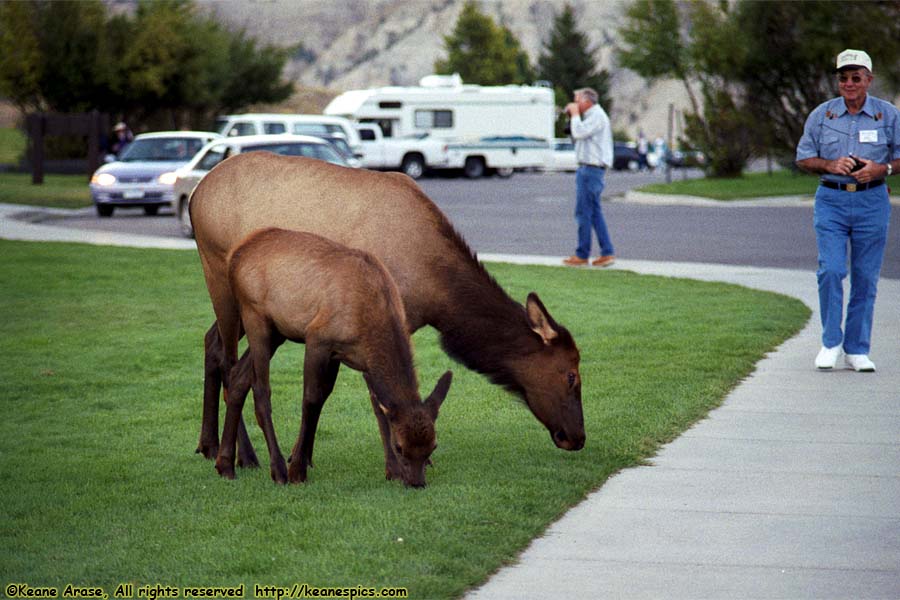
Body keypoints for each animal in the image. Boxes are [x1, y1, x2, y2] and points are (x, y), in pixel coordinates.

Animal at [212, 226, 450, 488]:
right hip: (254, 316)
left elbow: (375, 405)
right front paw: (297, 469)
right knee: (261, 391)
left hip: (277, 331)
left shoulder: (358, 359)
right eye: (400, 447)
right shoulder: (318, 338)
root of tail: (235, 256)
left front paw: (392, 471)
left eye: (432, 447)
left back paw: (225, 464)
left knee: (238, 377)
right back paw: (278, 469)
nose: (417, 483)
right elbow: (311, 399)